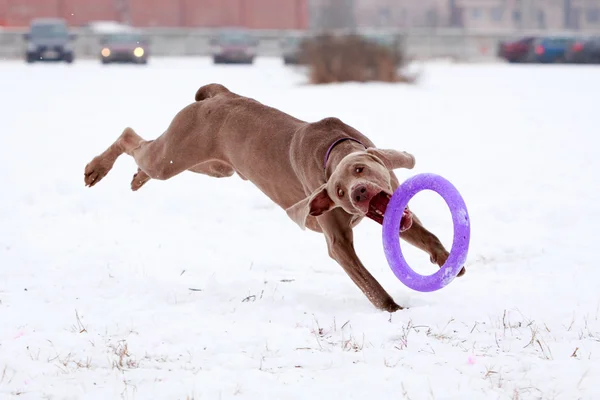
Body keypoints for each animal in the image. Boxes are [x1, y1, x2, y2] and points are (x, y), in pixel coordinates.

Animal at [83, 83, 464, 310]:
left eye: (359, 169)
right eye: (338, 191)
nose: (358, 193)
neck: (334, 149)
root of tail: (220, 94)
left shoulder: (395, 207)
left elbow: (425, 235)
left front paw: (447, 261)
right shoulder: (338, 242)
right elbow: (368, 281)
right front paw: (395, 311)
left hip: (215, 165)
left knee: (149, 154)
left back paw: (137, 177)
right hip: (176, 154)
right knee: (131, 138)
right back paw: (96, 168)